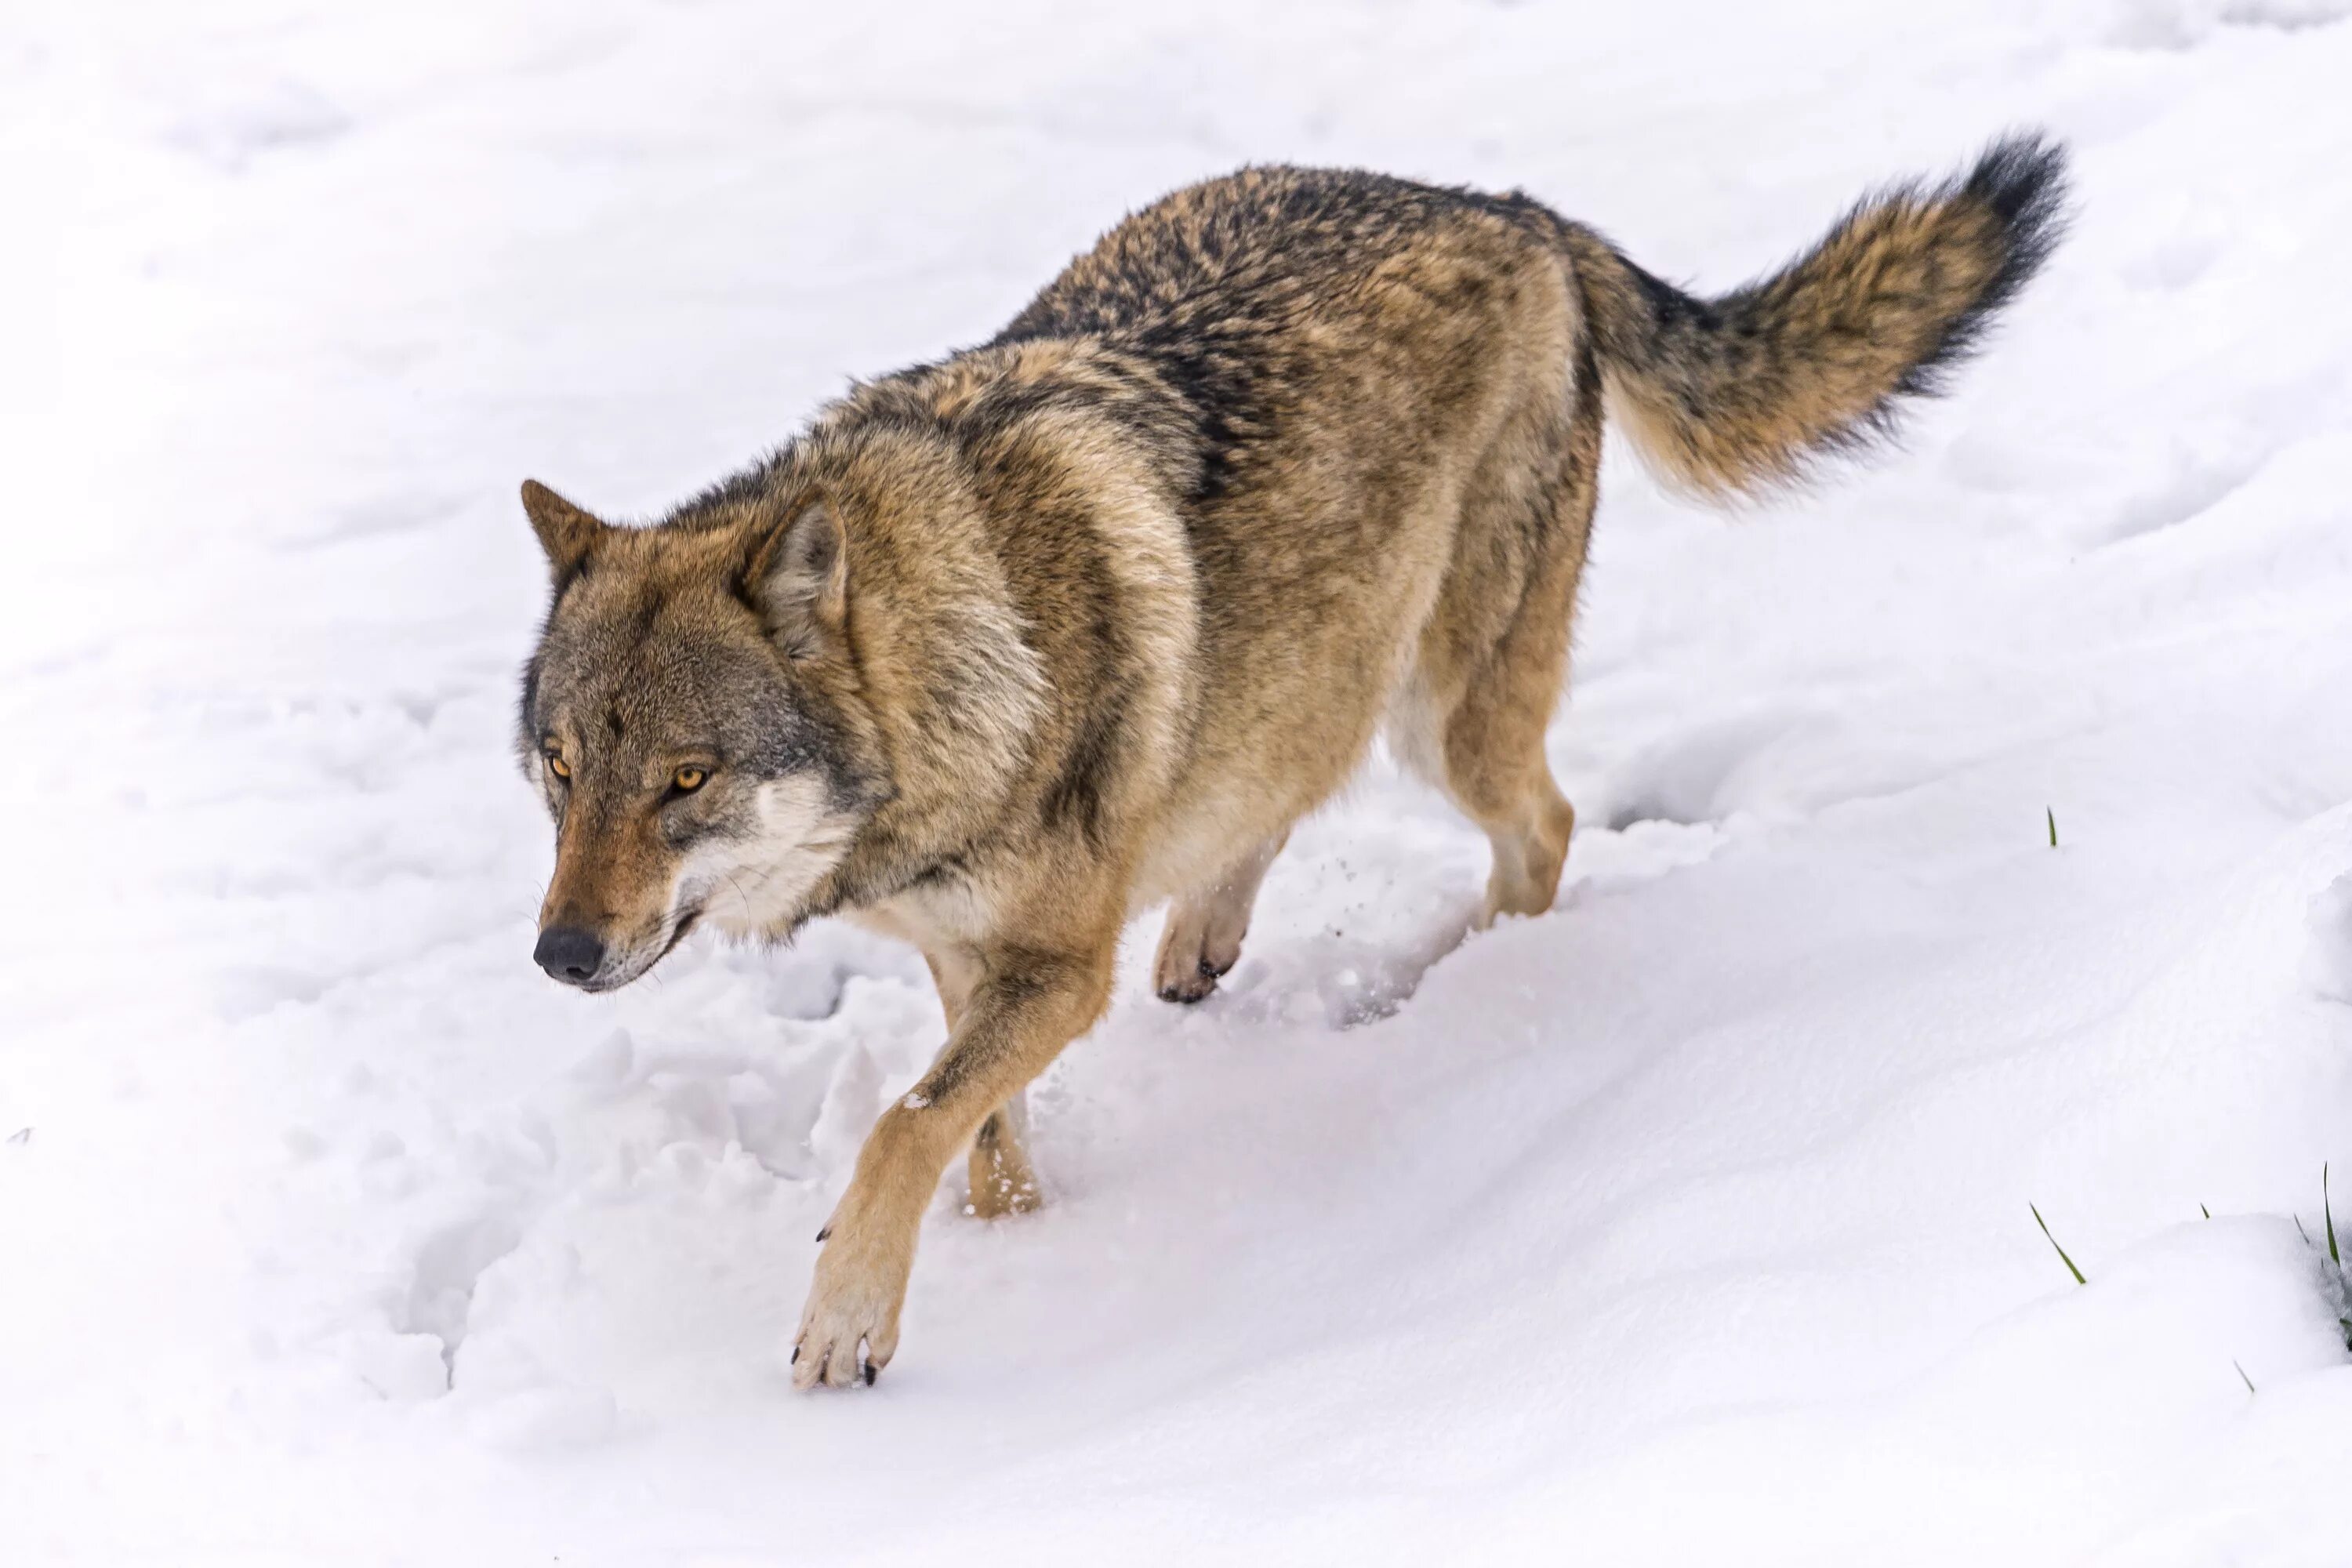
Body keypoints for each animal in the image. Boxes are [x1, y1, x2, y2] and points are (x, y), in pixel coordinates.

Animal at [510, 131, 2060, 1382]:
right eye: (563, 770)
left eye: (687, 780)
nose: (561, 957)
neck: (959, 661)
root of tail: (1520, 212)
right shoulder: (963, 950)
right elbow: (975, 1135)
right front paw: (1021, 1252)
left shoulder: (1057, 974)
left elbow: (904, 1125)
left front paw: (847, 1327)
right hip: (1330, 663)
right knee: (1283, 790)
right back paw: (1211, 937)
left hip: (1449, 713)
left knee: (1543, 831)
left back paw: (1448, 990)